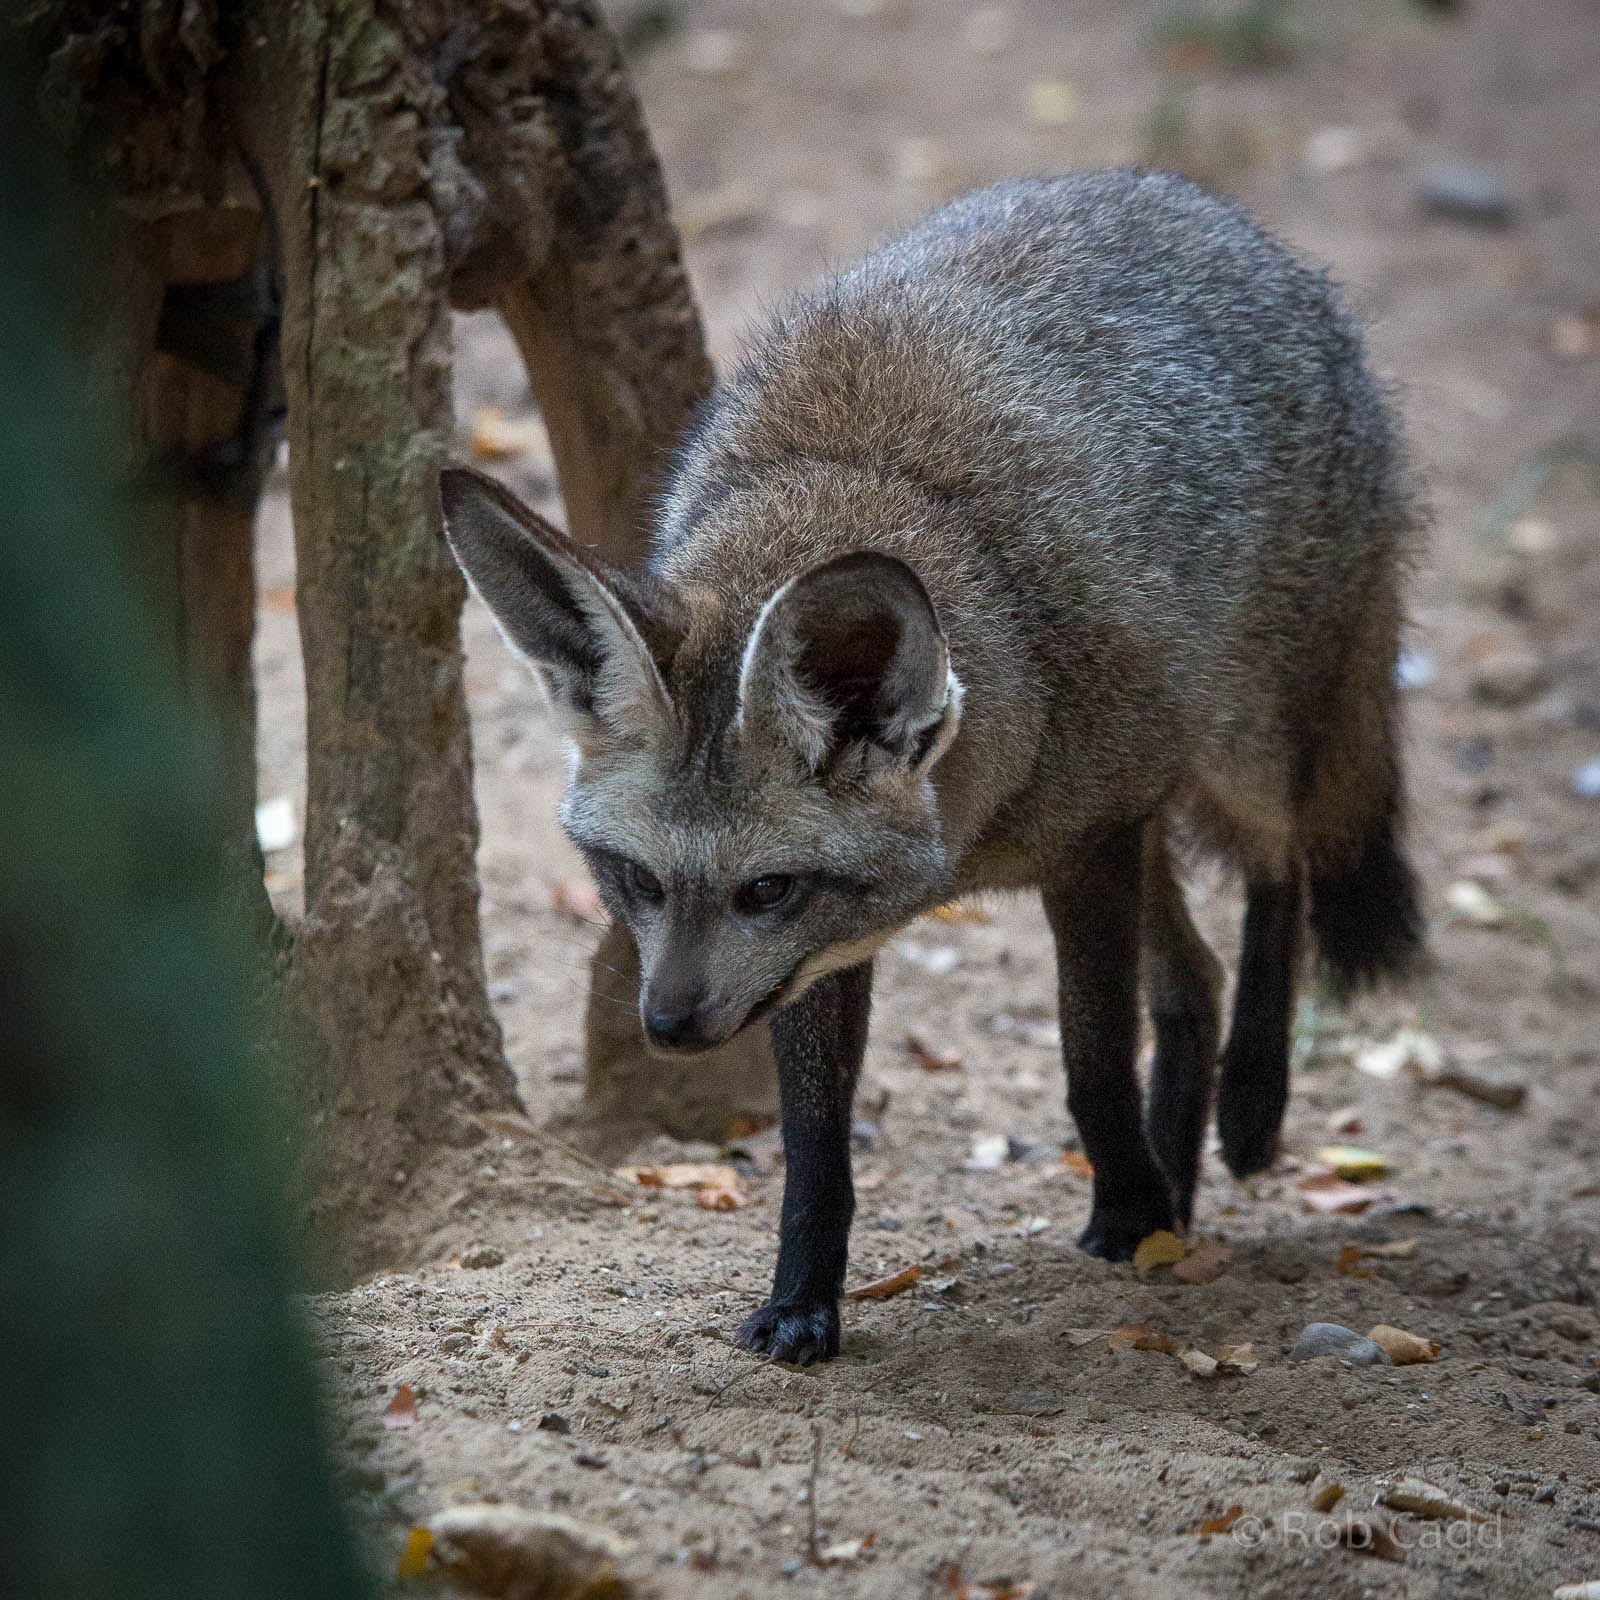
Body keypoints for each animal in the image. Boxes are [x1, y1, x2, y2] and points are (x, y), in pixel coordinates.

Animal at [440, 169, 1424, 1365]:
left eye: (766, 887)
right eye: (633, 879)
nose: (667, 1028)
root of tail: (1189, 200)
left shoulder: (1085, 845)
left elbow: (1092, 1062)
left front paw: (1132, 1204)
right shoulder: (826, 953)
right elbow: (816, 1142)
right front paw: (804, 1301)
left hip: (1238, 746)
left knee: (1282, 872)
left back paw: (1247, 1106)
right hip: (1157, 802)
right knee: (1193, 976)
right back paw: (1181, 1196)